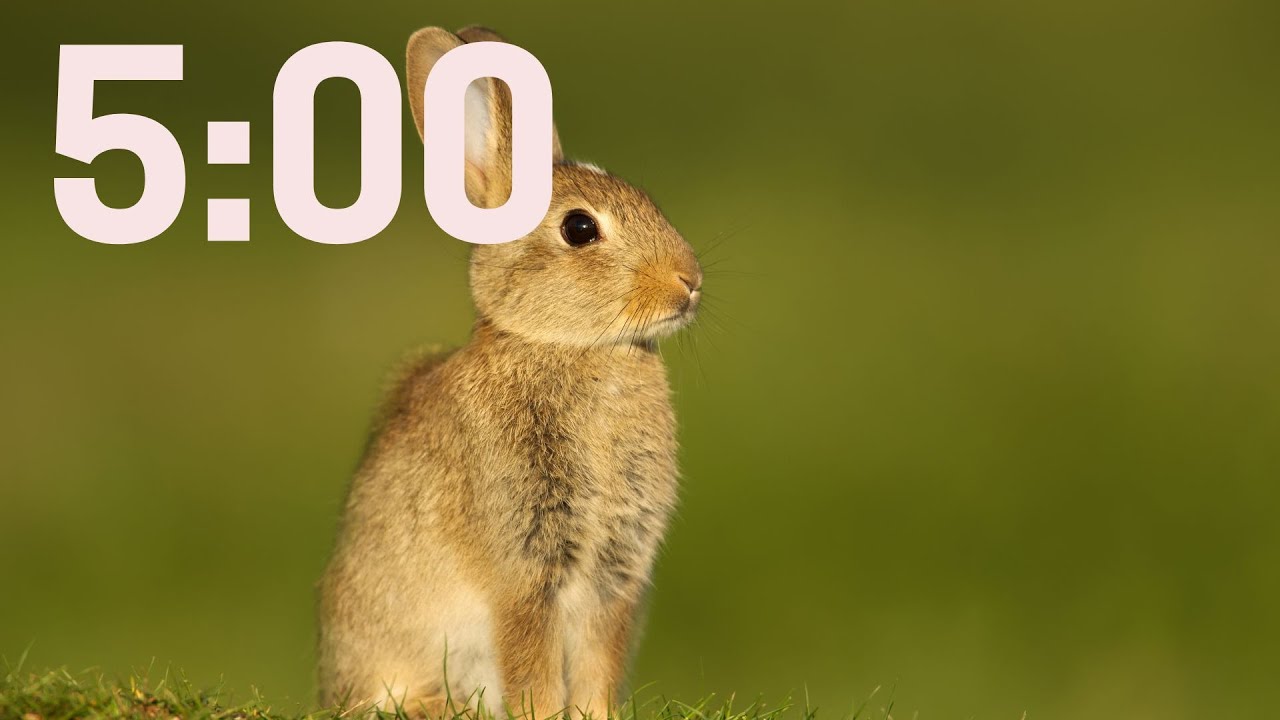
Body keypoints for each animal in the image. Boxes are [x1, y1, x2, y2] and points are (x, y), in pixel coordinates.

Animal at [316, 24, 703, 719]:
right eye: (579, 228)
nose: (690, 282)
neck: (573, 347)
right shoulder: (523, 566)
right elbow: (532, 659)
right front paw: (544, 714)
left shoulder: (615, 573)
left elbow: (599, 660)